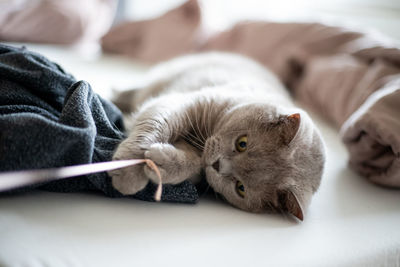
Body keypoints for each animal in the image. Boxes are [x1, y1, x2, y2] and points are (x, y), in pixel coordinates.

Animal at [109, 52, 324, 222]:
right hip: (163, 76)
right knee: (132, 91)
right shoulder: (185, 103)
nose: (218, 165)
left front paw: (161, 164)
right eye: (242, 143)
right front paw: (129, 171)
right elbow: (154, 126)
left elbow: (194, 165)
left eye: (241, 188)